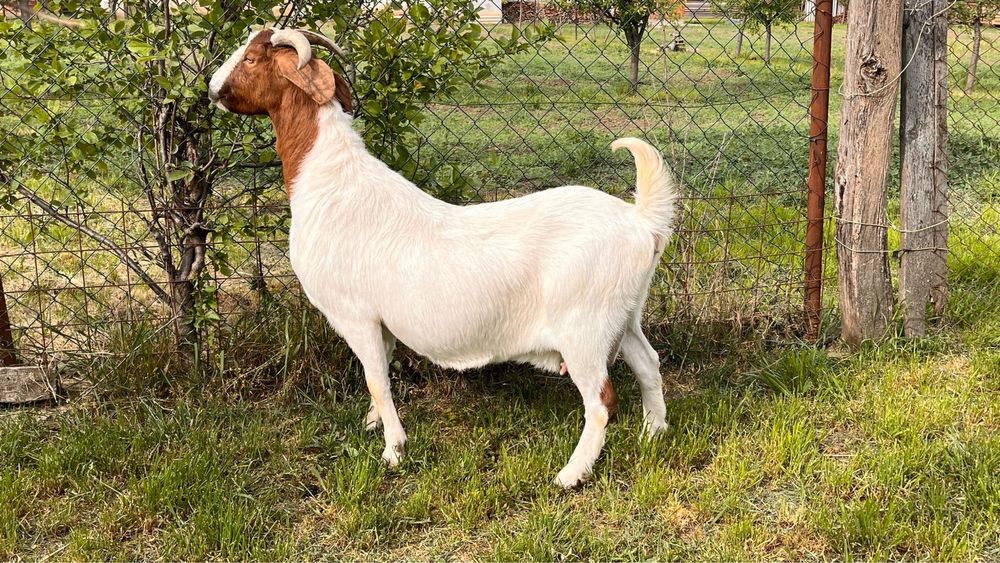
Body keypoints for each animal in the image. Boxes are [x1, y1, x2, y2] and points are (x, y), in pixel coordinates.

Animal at [208, 28, 678, 488]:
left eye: (251, 59)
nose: (212, 88)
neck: (331, 182)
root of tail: (641, 223)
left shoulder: (356, 315)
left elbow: (376, 379)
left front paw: (393, 451)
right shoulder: (381, 322)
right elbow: (381, 374)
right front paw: (373, 424)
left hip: (584, 328)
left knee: (601, 401)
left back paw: (571, 474)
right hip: (624, 315)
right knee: (648, 364)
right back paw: (653, 432)